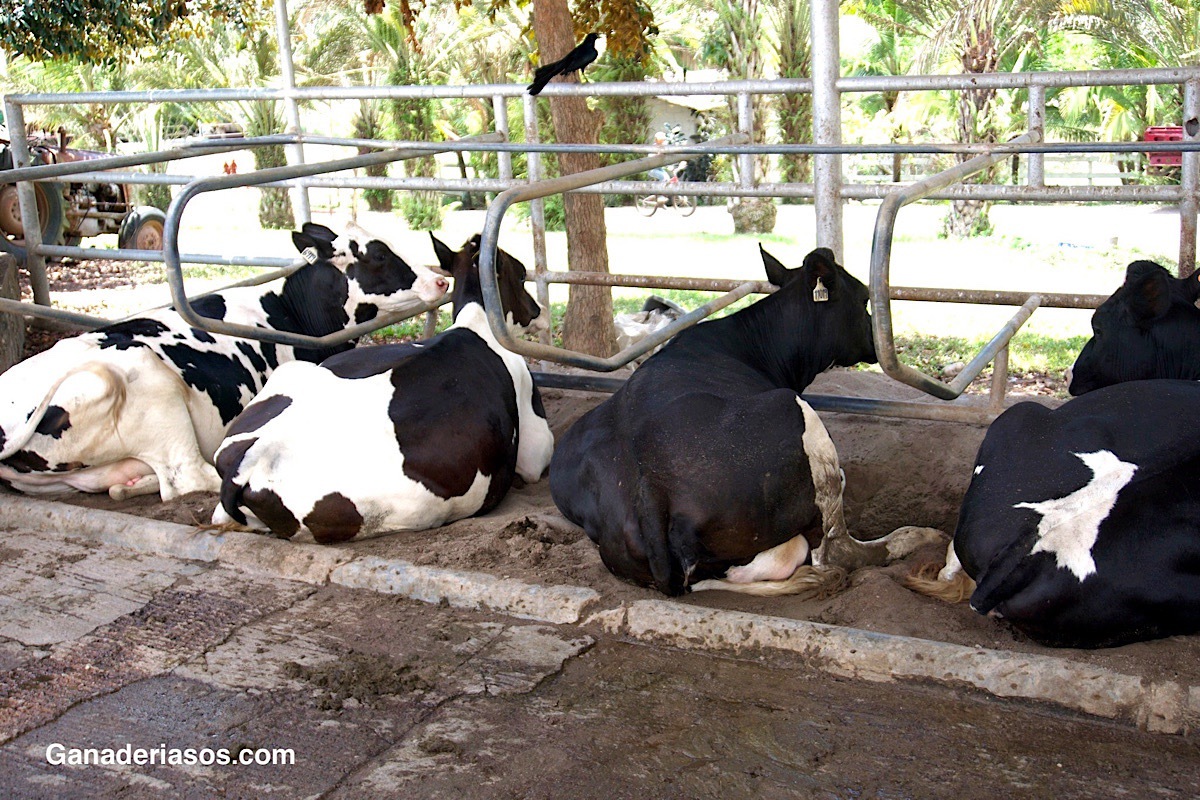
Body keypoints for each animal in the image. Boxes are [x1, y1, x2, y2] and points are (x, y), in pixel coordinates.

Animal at [0, 221, 448, 501]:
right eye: (378, 257)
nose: (440, 280)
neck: (289, 314)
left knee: (136, 482)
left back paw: (130, 483)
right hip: (152, 387)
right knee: (189, 475)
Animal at [211, 231, 552, 544]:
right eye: (521, 273)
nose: (538, 311)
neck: (477, 322)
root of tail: (256, 454)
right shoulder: (534, 443)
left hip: (289, 373)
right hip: (415, 508)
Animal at [547, 247, 936, 597]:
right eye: (865, 297)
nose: (875, 342)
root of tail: (649, 485)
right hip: (795, 417)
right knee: (835, 549)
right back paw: (918, 536)